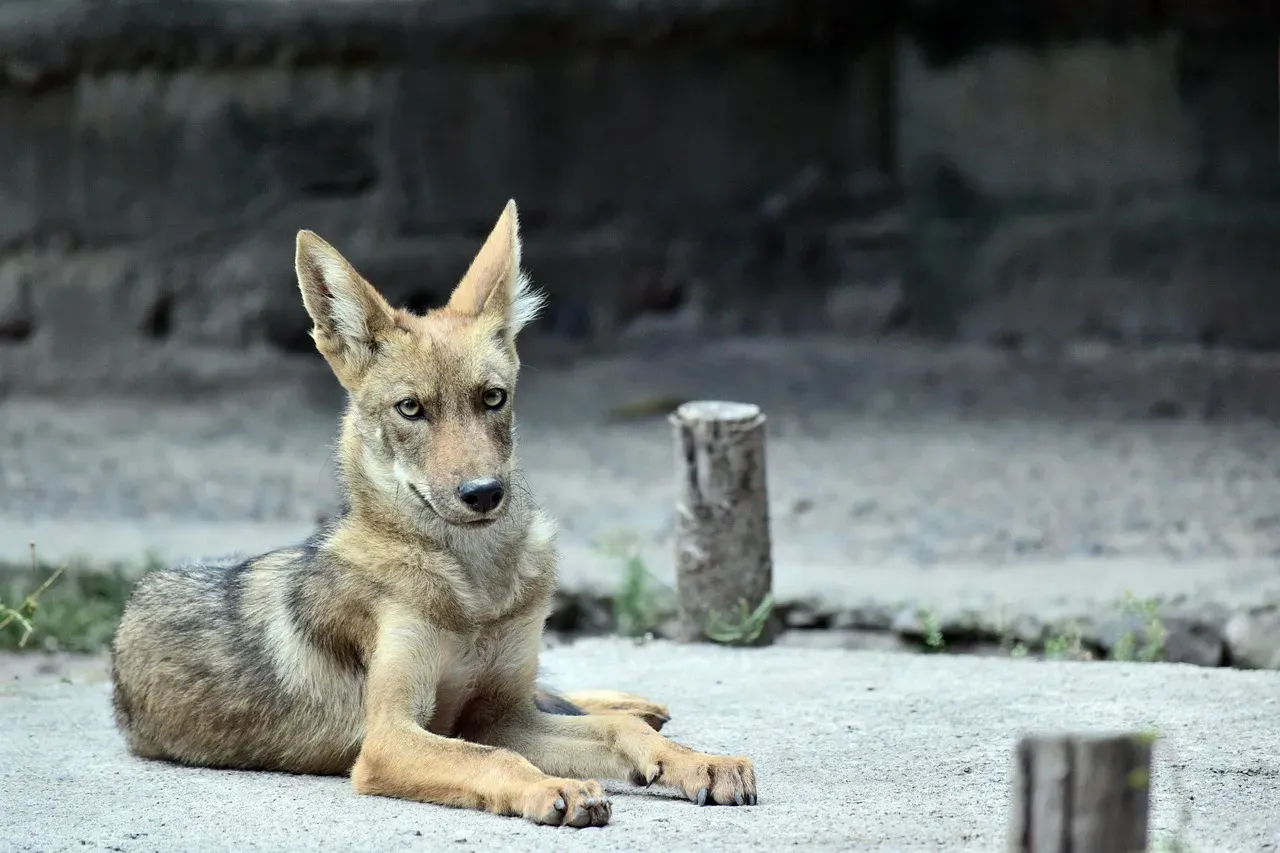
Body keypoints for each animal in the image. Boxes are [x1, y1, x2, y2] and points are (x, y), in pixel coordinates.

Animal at [109, 200, 757, 828]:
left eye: (492, 398)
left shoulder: (502, 714)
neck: (476, 589)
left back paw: (636, 705)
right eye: (410, 409)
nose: (483, 493)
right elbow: (495, 759)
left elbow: (612, 733)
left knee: (573, 697)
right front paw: (555, 788)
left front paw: (697, 761)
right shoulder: (394, 738)